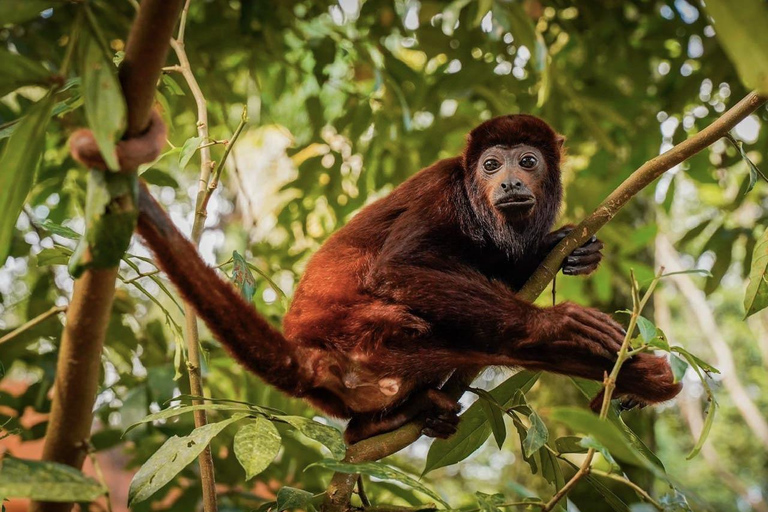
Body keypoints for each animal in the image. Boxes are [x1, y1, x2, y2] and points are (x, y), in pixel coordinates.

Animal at [70, 113, 682, 444]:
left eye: (527, 161)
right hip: (371, 334)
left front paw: (568, 247)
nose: (509, 183)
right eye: (491, 166)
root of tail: (309, 356)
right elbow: (397, 268)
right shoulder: (444, 190)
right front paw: (554, 321)